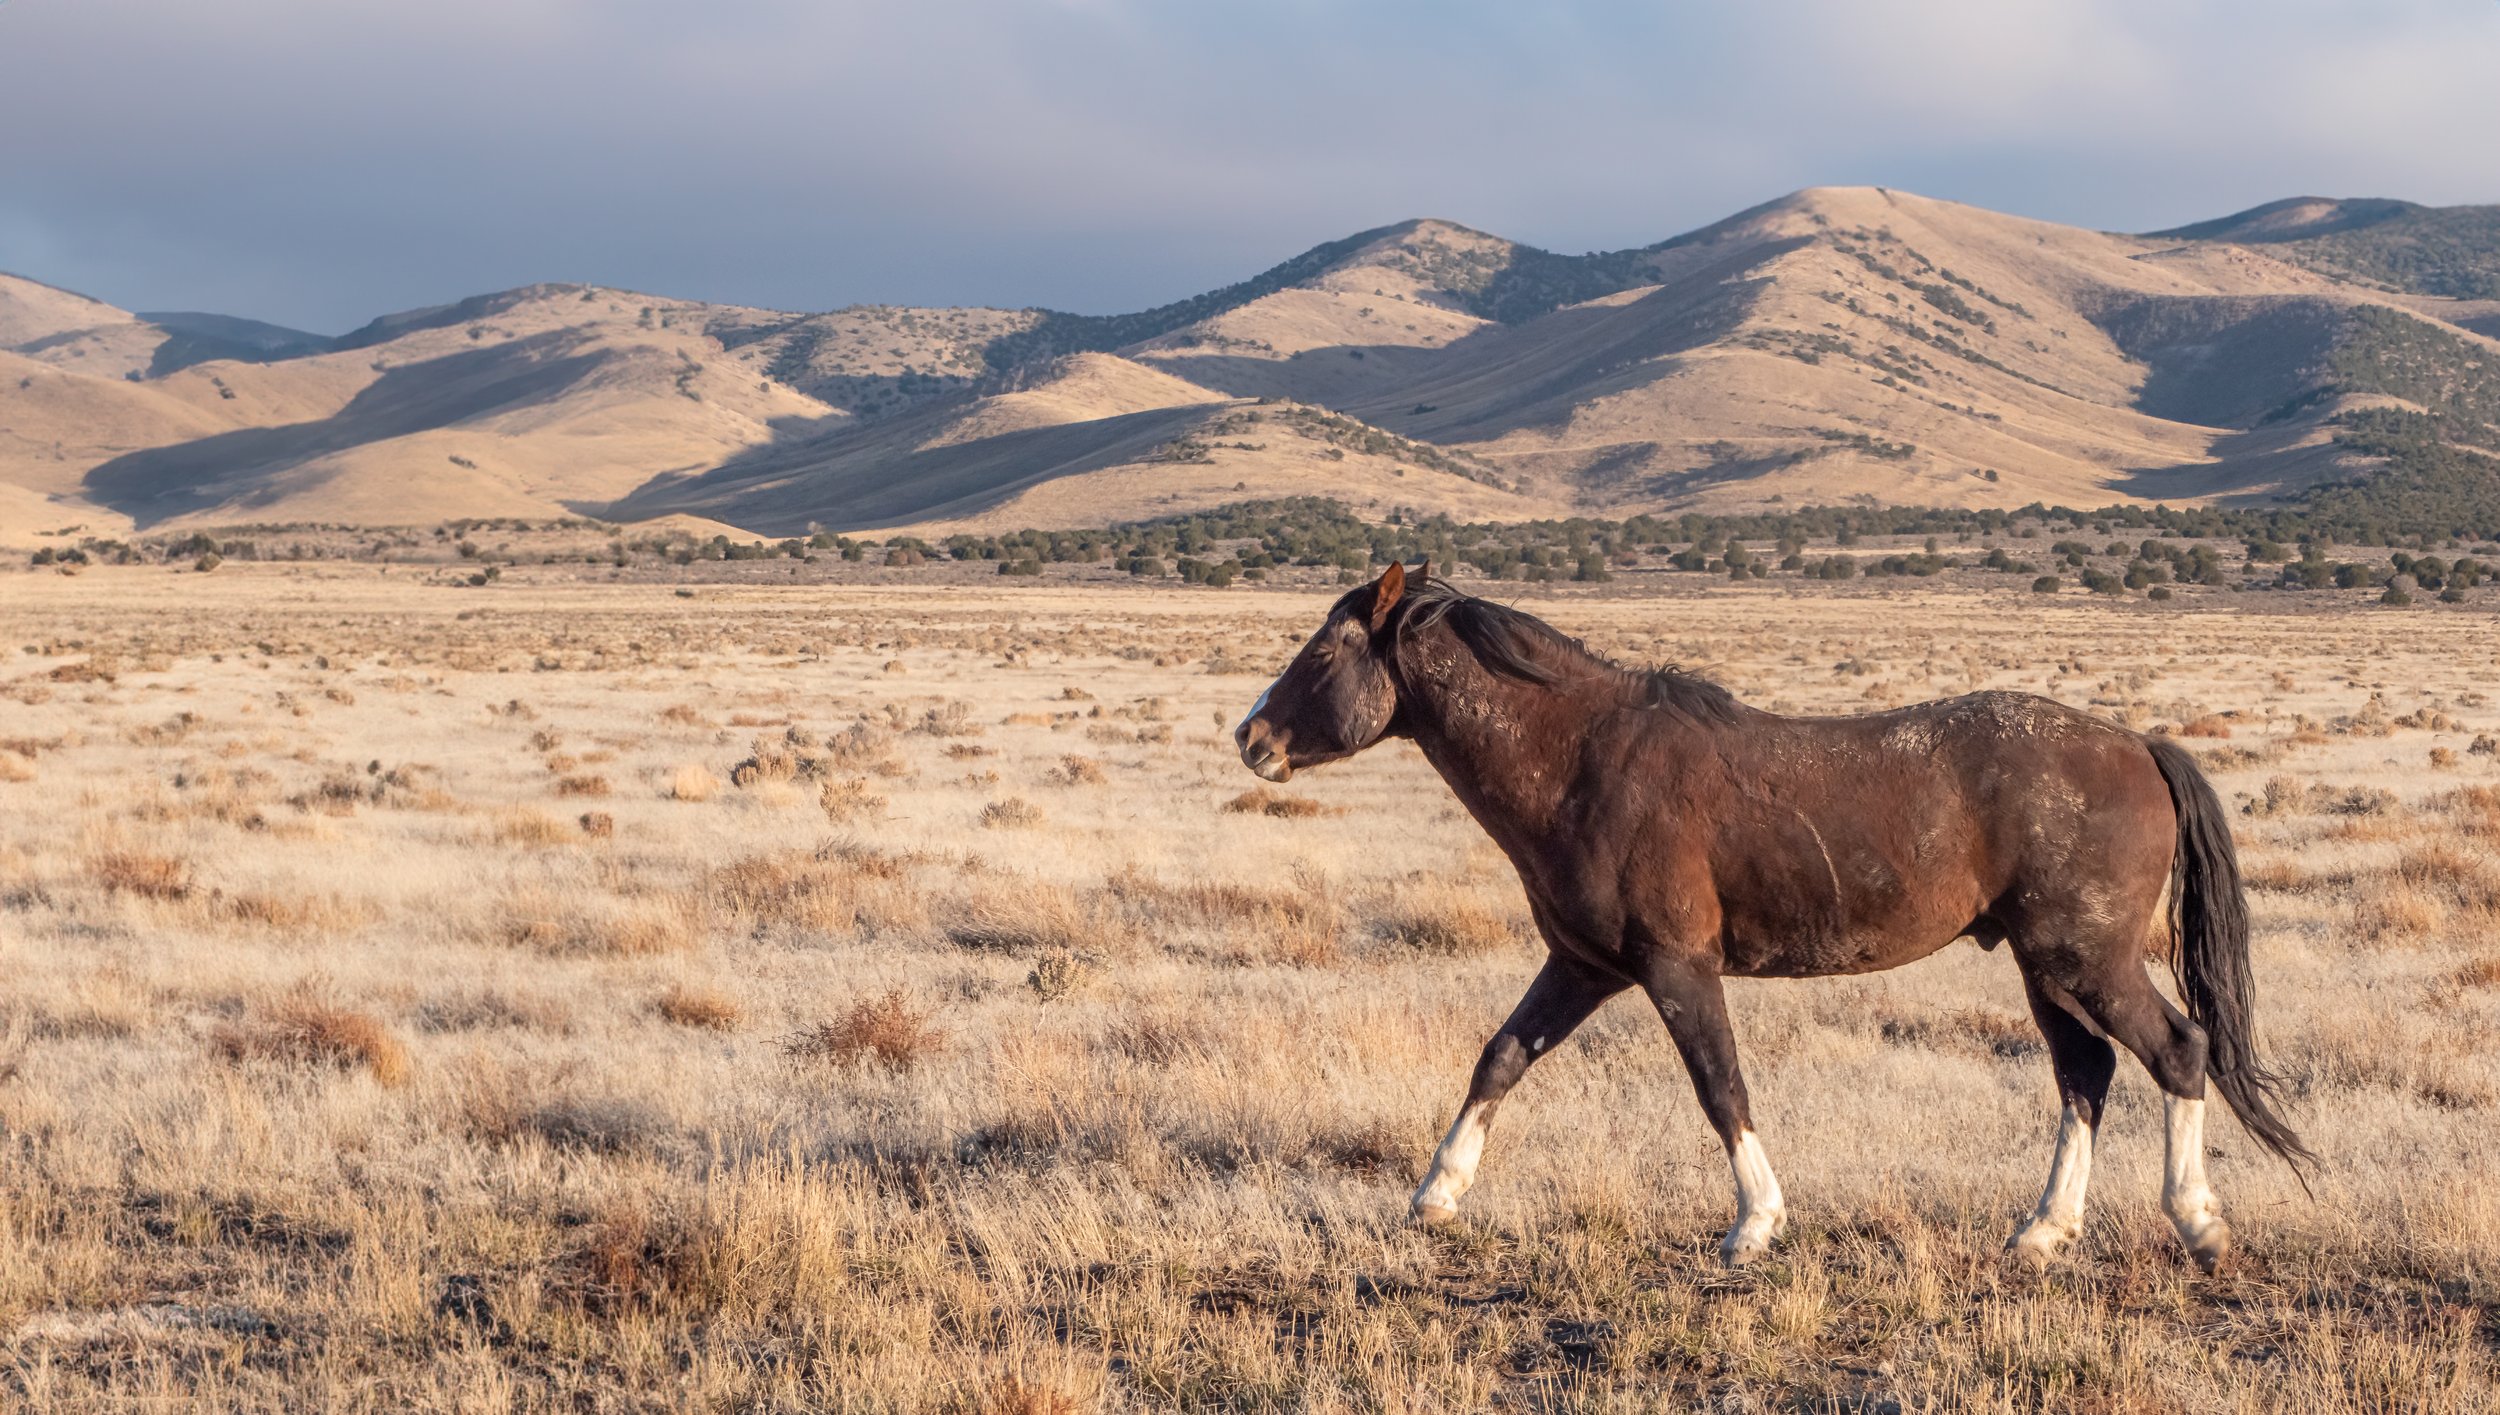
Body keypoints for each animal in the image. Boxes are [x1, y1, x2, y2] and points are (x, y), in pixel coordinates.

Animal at [1234, 562, 2310, 1271]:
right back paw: (2043, 1230)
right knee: (2085, 1073)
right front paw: (1436, 1193)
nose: (1252, 737)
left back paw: (2198, 1221)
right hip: (2045, 966)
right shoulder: (1584, 966)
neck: (1584, 758)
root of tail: (2135, 743)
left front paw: (1755, 1223)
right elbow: (1499, 1057)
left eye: (1329, 646)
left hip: (2087, 958)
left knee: (2176, 1049)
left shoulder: (1676, 967)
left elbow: (1721, 1087)